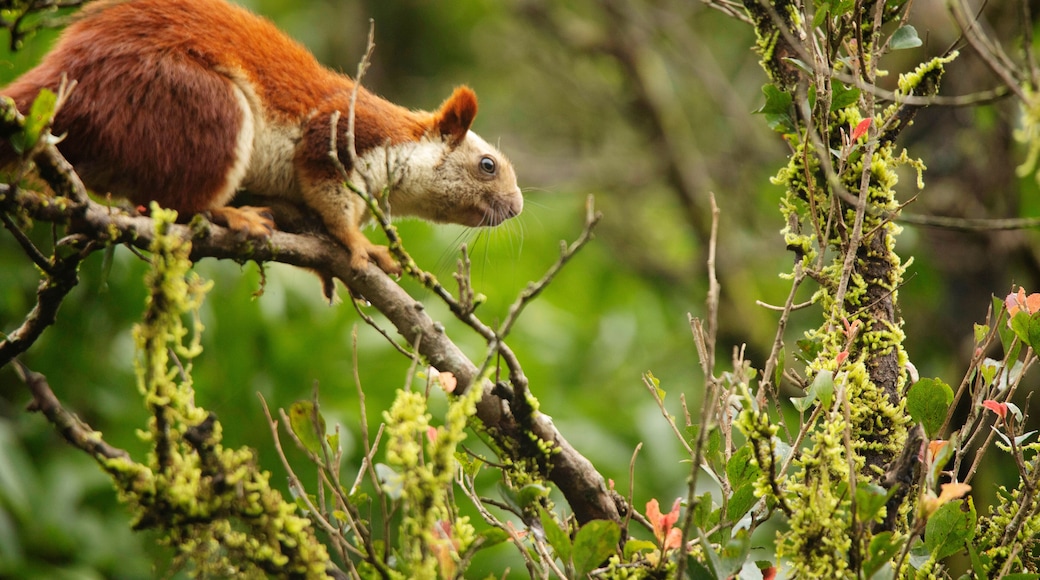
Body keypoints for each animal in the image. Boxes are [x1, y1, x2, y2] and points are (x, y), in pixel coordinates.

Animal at [0, 0, 522, 274]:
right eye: (488, 165)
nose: (517, 208)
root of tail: (63, 75)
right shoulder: (339, 132)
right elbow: (329, 190)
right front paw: (358, 243)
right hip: (198, 103)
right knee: (181, 203)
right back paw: (231, 215)